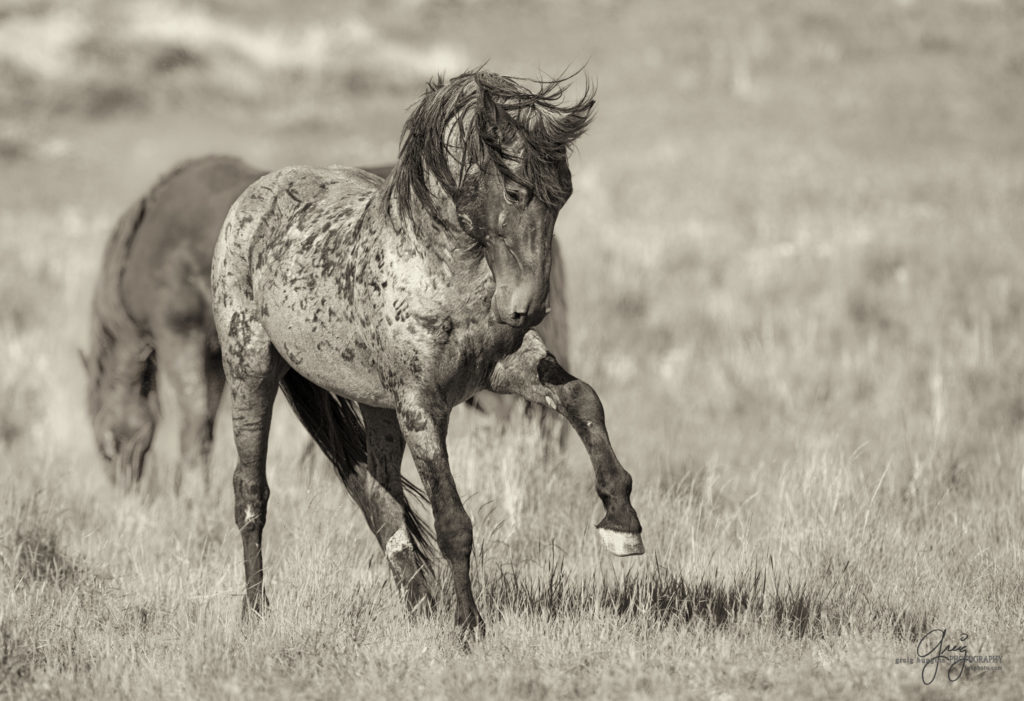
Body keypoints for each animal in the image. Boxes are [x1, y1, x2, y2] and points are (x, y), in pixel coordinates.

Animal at [210, 69, 643, 634]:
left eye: (563, 196)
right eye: (515, 191)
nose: (527, 308)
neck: (440, 273)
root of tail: (252, 199)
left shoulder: (507, 369)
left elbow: (583, 399)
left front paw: (622, 522)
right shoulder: (422, 407)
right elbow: (453, 522)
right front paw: (468, 626)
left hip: (374, 403)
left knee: (380, 495)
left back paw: (417, 602)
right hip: (252, 370)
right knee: (251, 491)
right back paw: (255, 609)